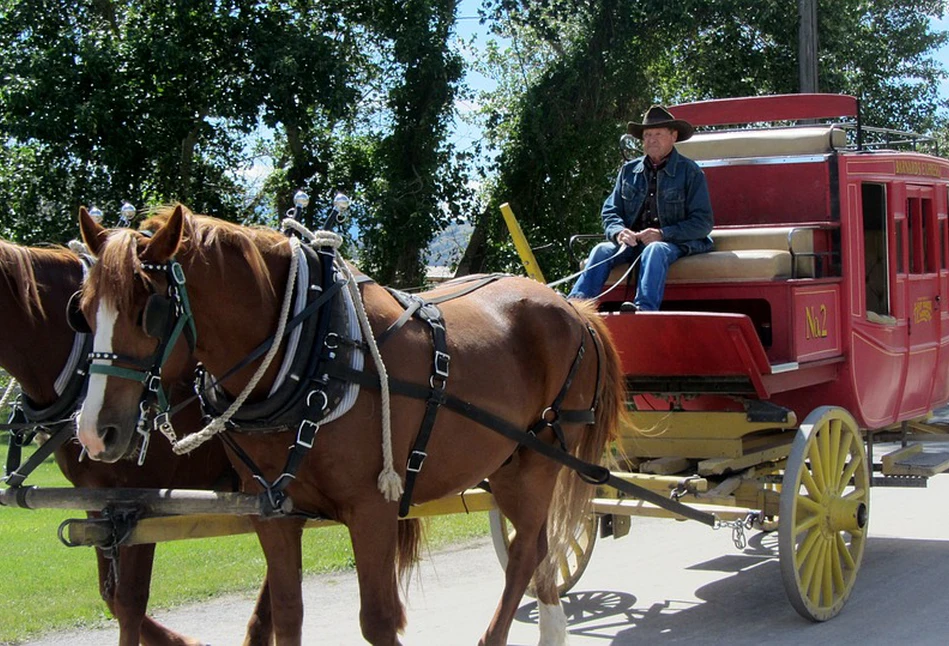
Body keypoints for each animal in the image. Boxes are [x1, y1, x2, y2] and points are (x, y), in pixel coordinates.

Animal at [0, 239, 272, 646]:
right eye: (80, 314)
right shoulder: (96, 502)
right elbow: (110, 595)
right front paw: (180, 641)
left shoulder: (138, 502)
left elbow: (129, 600)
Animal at [72, 206, 624, 646]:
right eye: (82, 311)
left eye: (149, 311)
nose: (95, 431)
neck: (312, 352)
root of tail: (571, 307)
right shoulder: (273, 513)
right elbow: (288, 616)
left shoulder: (372, 509)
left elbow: (377, 621)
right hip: (506, 465)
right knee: (538, 547)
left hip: (539, 460)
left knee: (524, 553)